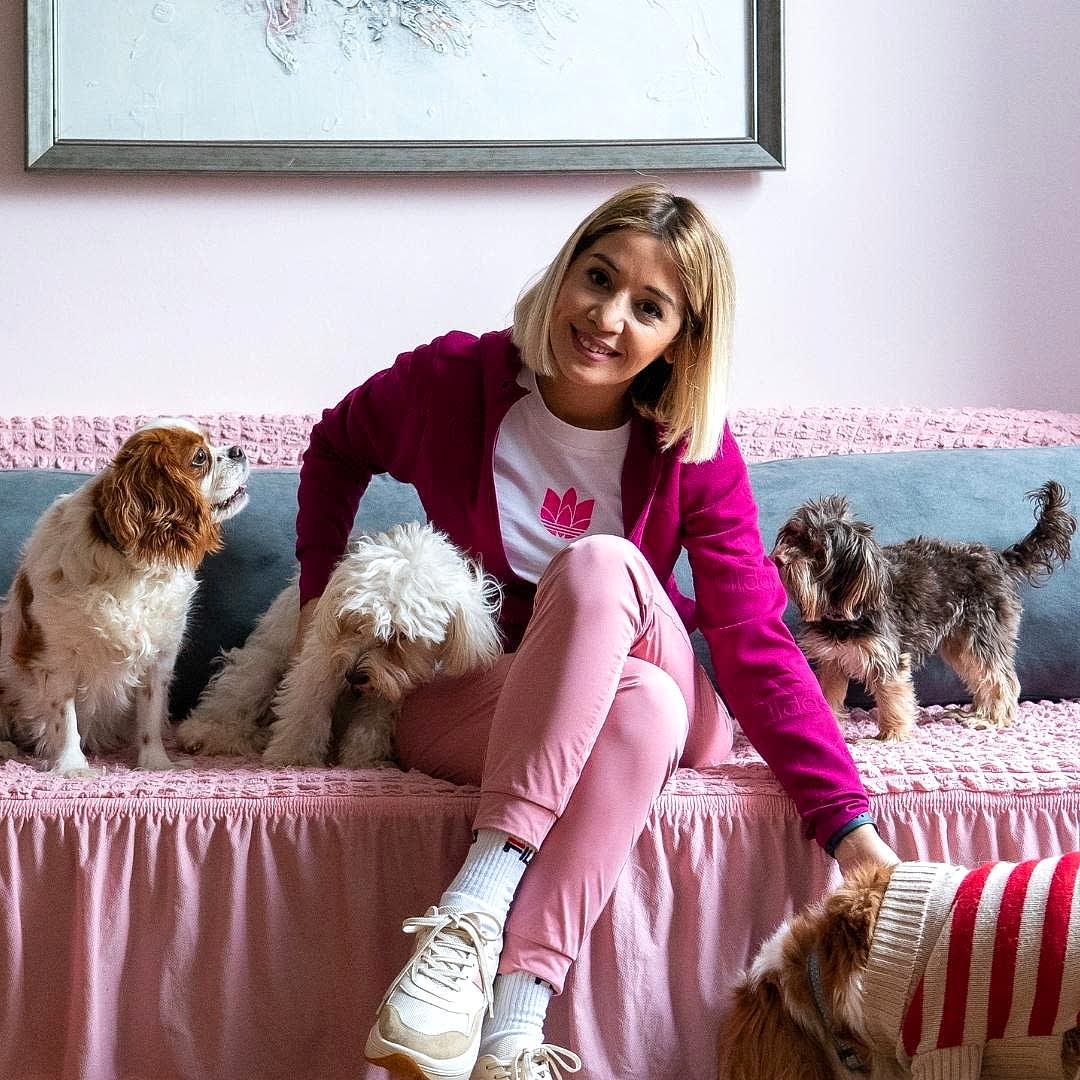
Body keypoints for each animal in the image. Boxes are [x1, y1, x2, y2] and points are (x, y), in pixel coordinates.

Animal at [0, 419, 249, 776]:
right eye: (200, 457)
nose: (239, 450)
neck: (132, 566)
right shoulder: (56, 656)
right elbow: (65, 718)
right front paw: (73, 767)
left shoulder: (159, 657)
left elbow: (150, 717)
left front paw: (156, 763)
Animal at [175, 522, 502, 768]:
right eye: (354, 622)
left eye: (398, 636)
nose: (354, 675)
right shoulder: (318, 661)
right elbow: (306, 710)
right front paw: (294, 756)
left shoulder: (394, 684)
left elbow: (372, 723)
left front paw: (361, 759)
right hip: (257, 672)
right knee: (224, 707)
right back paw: (204, 734)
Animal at [770, 482, 1075, 740]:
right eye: (793, 536)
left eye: (818, 552)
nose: (777, 558)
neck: (844, 606)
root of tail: (1001, 559)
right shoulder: (832, 660)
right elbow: (828, 695)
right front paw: (828, 725)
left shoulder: (888, 659)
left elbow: (893, 696)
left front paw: (891, 735)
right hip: (960, 643)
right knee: (982, 676)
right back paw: (978, 712)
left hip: (982, 634)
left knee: (1002, 679)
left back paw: (991, 720)